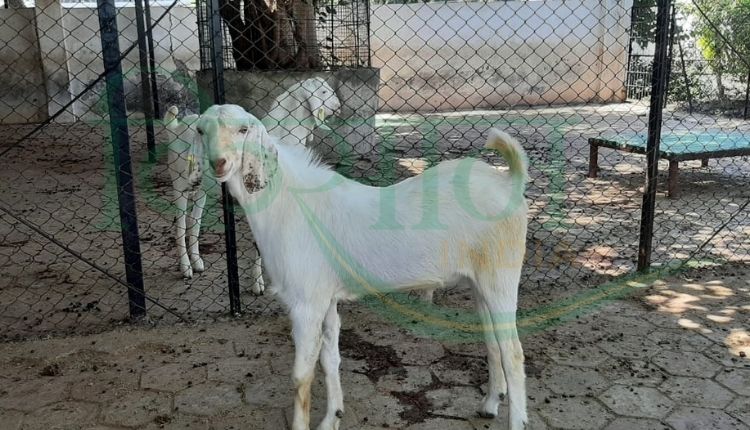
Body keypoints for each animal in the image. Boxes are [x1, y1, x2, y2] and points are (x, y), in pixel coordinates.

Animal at [197, 104, 529, 430]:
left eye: (243, 129)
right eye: (201, 130)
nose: (218, 163)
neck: (289, 204)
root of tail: (508, 183)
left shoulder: (306, 303)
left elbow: (301, 376)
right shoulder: (327, 299)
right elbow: (330, 359)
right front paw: (332, 417)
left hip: (501, 276)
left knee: (513, 353)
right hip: (480, 283)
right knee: (493, 341)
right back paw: (490, 403)